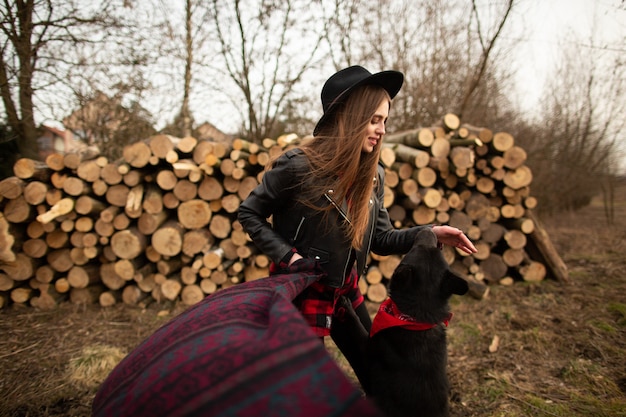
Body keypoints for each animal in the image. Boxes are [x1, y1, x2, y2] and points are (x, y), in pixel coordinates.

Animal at [334, 228, 466, 416]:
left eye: (416, 248)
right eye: (433, 249)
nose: (427, 229)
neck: (414, 318)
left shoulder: (367, 353)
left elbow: (356, 328)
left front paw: (345, 304)